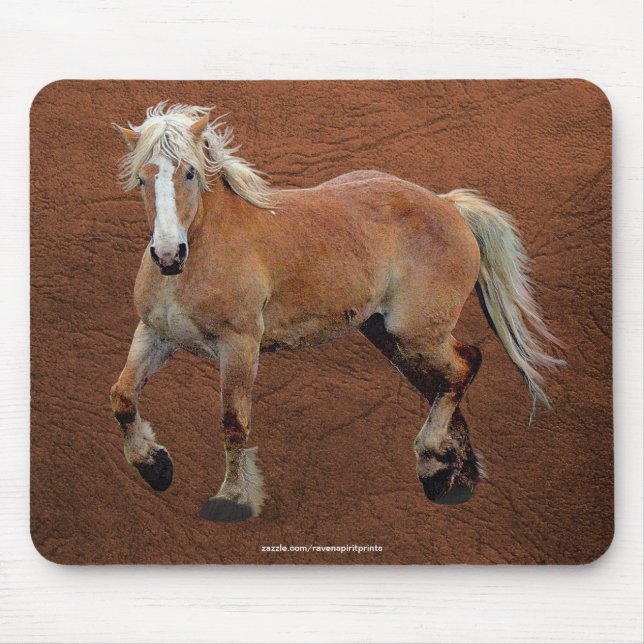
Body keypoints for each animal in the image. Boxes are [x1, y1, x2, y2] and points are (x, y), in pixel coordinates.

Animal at [110, 102, 563, 522]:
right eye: (142, 178)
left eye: (188, 174)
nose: (168, 255)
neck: (204, 249)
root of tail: (448, 205)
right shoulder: (155, 334)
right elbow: (123, 396)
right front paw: (155, 466)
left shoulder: (239, 346)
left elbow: (233, 422)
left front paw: (232, 499)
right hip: (390, 337)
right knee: (442, 382)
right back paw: (448, 478)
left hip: (416, 332)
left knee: (464, 365)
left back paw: (436, 461)